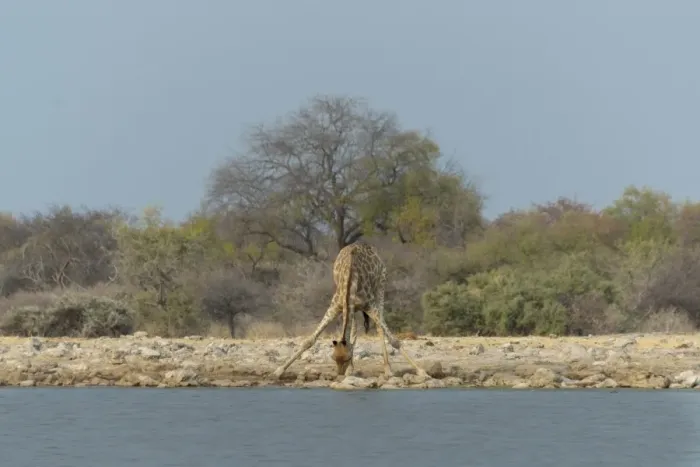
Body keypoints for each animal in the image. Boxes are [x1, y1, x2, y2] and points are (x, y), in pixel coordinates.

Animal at [271, 241, 429, 380]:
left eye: (347, 358)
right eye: (333, 358)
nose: (340, 375)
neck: (350, 281)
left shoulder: (369, 305)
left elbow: (394, 340)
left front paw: (422, 372)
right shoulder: (336, 306)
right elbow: (309, 340)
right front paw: (278, 371)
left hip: (380, 286)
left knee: (379, 326)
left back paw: (387, 370)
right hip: (355, 308)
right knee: (353, 330)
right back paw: (353, 370)